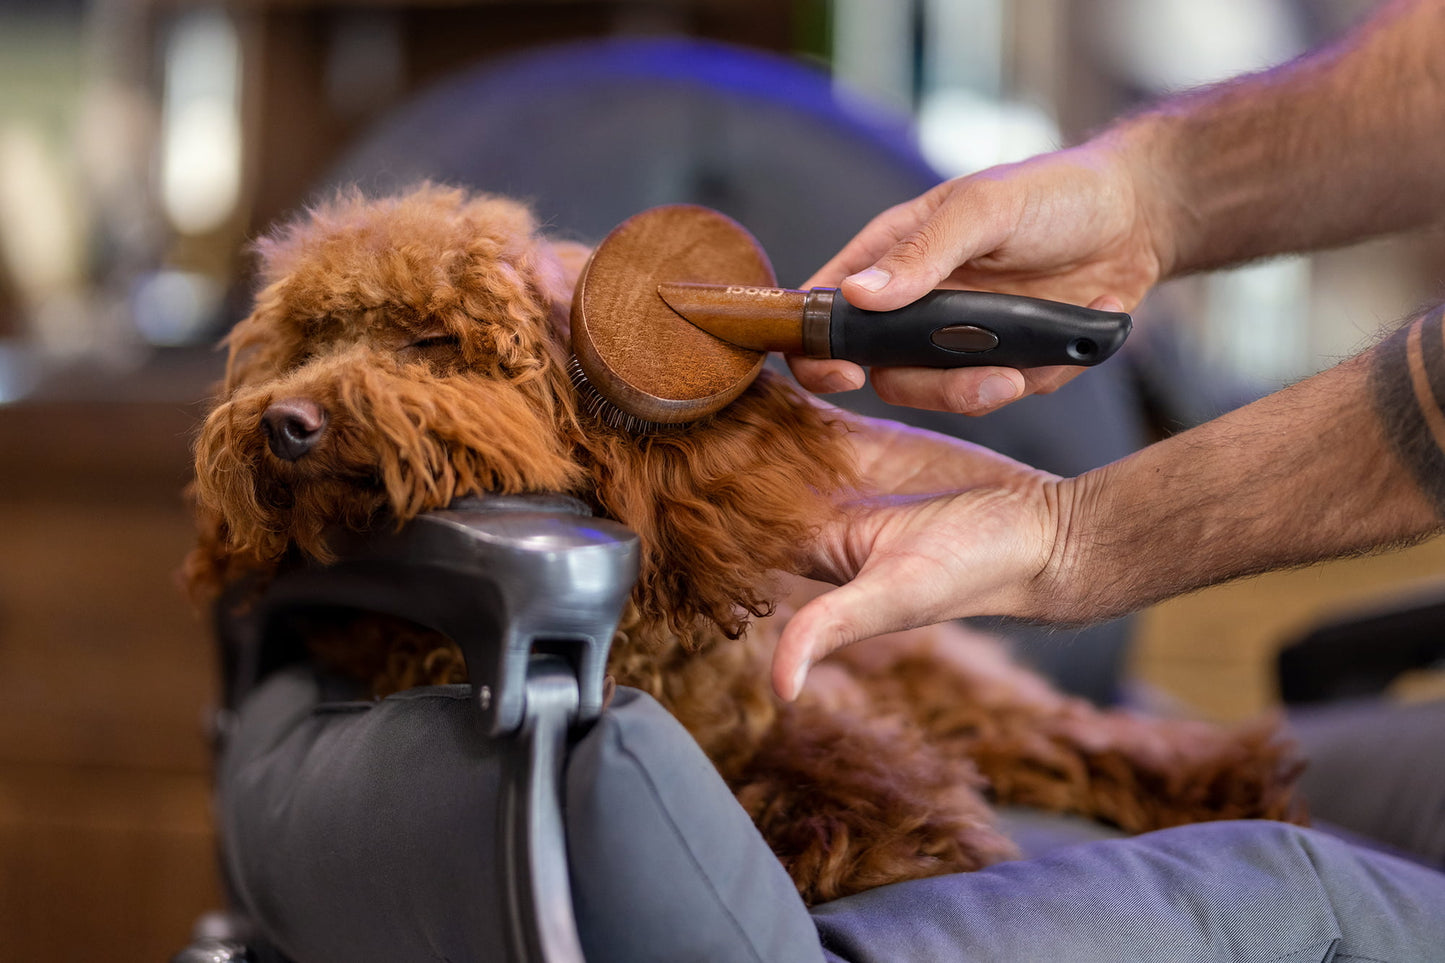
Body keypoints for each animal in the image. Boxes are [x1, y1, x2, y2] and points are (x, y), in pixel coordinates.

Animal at [186, 183, 1306, 902]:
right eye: (309, 342)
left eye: (432, 341)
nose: (286, 424)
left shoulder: (811, 698)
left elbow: (849, 765)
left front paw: (858, 827)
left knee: (1065, 731)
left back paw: (1227, 776)